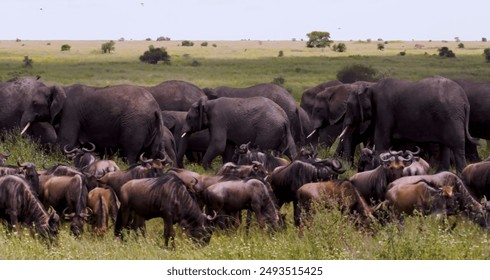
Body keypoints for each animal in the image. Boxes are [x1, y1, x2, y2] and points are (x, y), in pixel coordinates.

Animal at [342, 76, 476, 173]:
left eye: (348, 105)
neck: (371, 86)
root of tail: (465, 101)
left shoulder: (384, 109)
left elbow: (382, 140)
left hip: (452, 117)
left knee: (457, 146)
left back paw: (461, 174)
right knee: (445, 146)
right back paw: (441, 173)